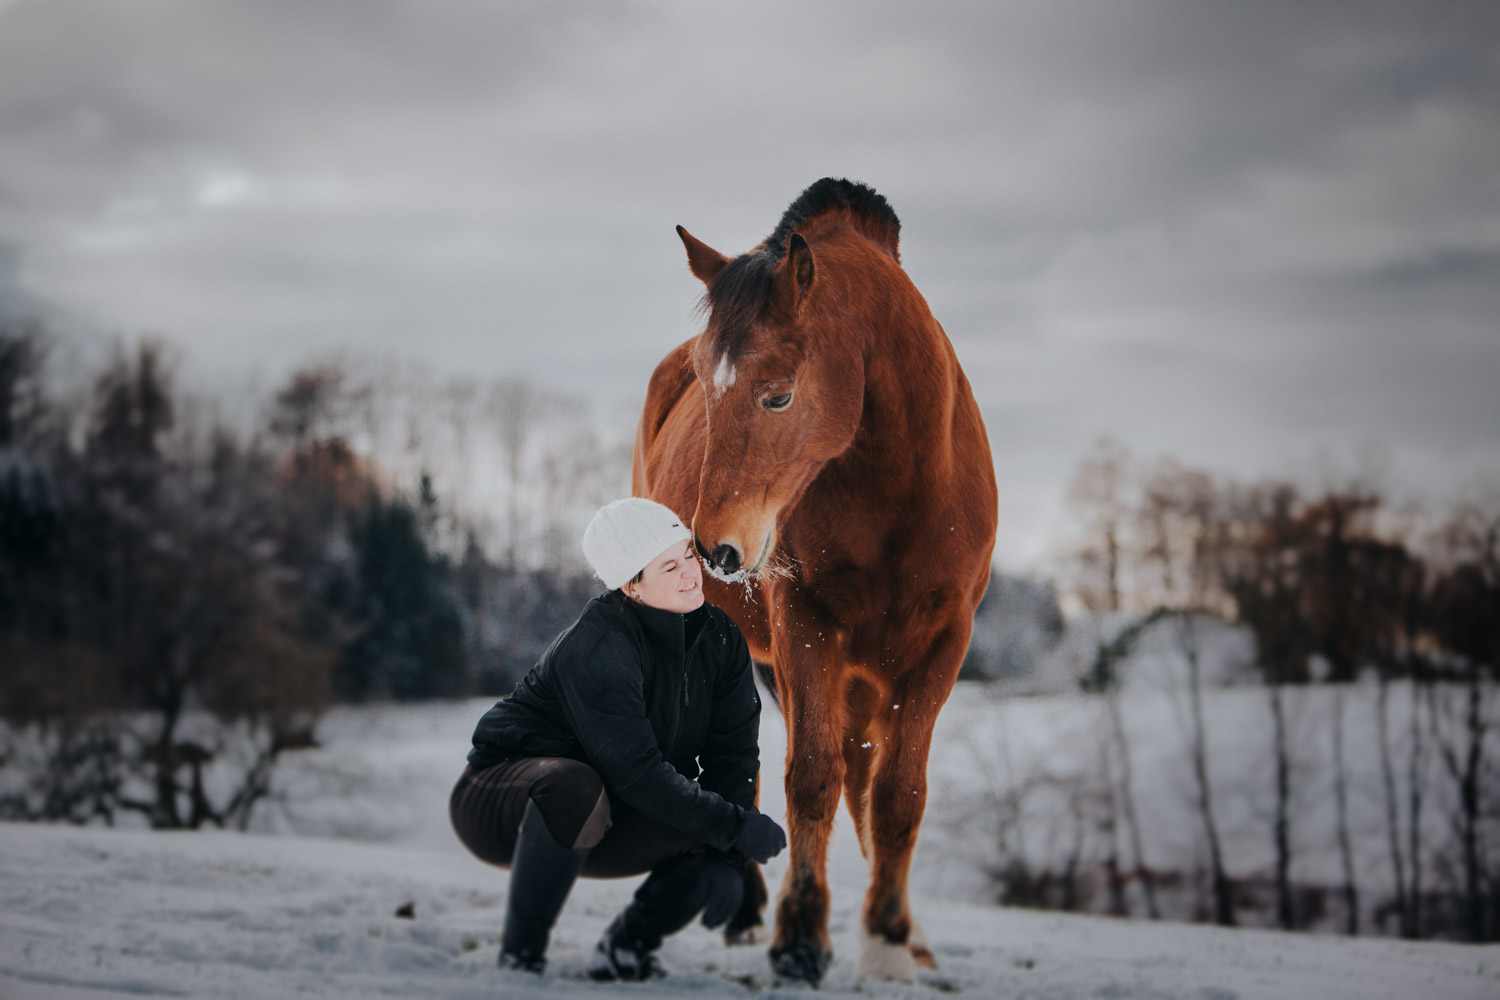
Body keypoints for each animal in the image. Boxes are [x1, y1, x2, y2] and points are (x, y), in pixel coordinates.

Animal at [633, 176, 996, 983]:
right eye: (706, 387)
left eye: (778, 394)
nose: (712, 551)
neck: (903, 486)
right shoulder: (807, 623)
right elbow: (811, 777)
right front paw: (801, 938)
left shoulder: (944, 642)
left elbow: (898, 792)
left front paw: (890, 940)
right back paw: (746, 910)